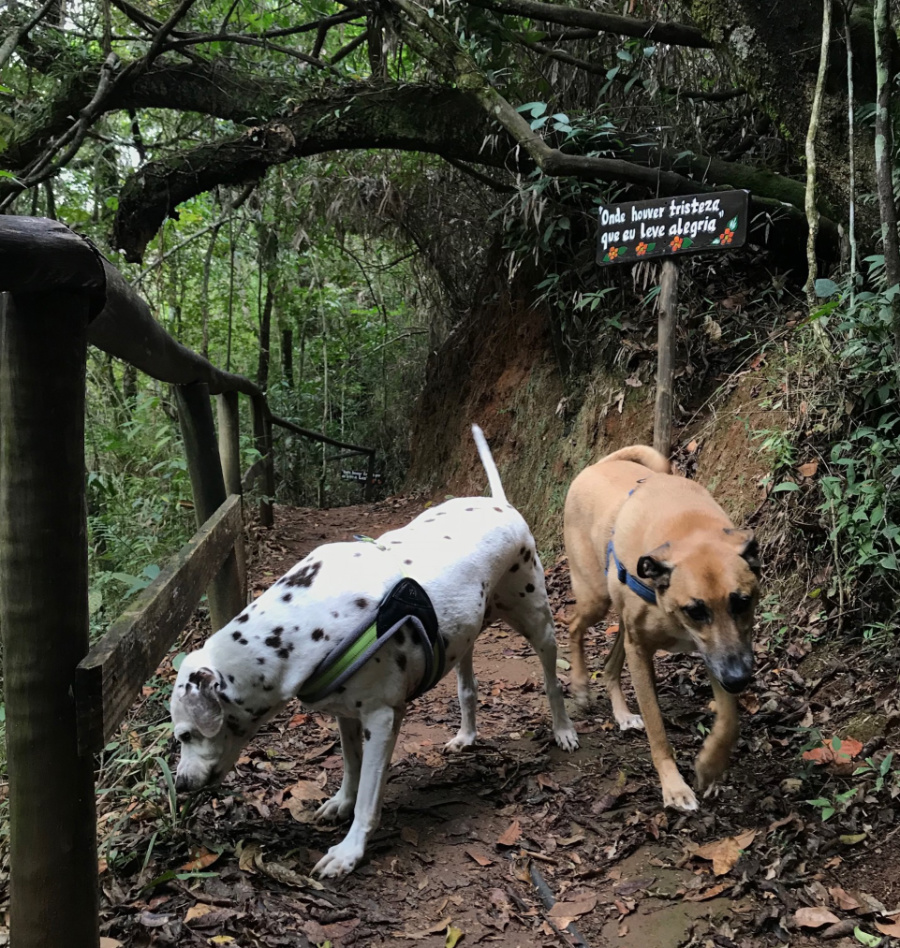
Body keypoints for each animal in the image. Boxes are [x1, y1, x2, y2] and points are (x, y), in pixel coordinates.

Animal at [169, 426, 576, 876]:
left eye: (184, 735)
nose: (181, 784)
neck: (306, 620)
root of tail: (501, 503)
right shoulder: (346, 715)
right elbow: (351, 767)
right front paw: (340, 802)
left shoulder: (381, 719)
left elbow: (368, 793)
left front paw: (350, 850)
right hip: (463, 639)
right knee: (468, 688)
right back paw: (466, 736)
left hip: (539, 624)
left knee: (552, 682)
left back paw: (564, 731)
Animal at [568, 448, 756, 812]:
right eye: (695, 611)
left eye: (743, 602)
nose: (739, 679)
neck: (689, 529)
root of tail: (597, 465)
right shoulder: (643, 650)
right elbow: (657, 729)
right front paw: (673, 785)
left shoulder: (717, 654)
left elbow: (730, 721)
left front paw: (710, 766)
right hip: (595, 598)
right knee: (572, 628)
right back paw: (581, 684)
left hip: (623, 623)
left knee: (610, 664)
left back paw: (622, 714)